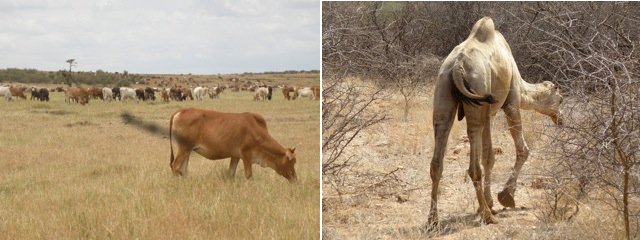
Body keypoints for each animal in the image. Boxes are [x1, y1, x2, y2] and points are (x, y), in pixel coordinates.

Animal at [170, 107, 300, 182]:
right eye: (292, 162)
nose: (294, 178)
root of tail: (180, 111)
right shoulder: (246, 156)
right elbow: (249, 175)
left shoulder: (235, 156)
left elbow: (231, 174)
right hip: (184, 148)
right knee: (176, 166)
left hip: (187, 151)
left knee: (183, 170)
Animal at [428, 16, 564, 227]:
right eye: (561, 99)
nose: (561, 119)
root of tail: (458, 67)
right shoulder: (511, 103)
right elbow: (522, 149)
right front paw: (505, 197)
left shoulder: (489, 114)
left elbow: (489, 156)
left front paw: (490, 202)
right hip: (477, 90)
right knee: (473, 162)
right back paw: (487, 216)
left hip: (444, 93)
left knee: (437, 156)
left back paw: (433, 219)